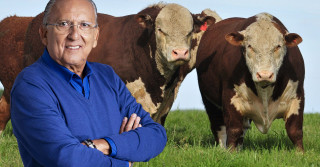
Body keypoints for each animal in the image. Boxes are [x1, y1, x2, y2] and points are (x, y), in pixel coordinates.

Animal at [196, 12, 304, 151]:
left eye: (278, 46)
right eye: (250, 46)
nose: (264, 75)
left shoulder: (297, 97)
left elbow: (295, 131)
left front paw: (300, 153)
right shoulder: (230, 97)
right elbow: (234, 129)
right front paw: (230, 152)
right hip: (209, 102)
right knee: (219, 127)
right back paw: (223, 148)